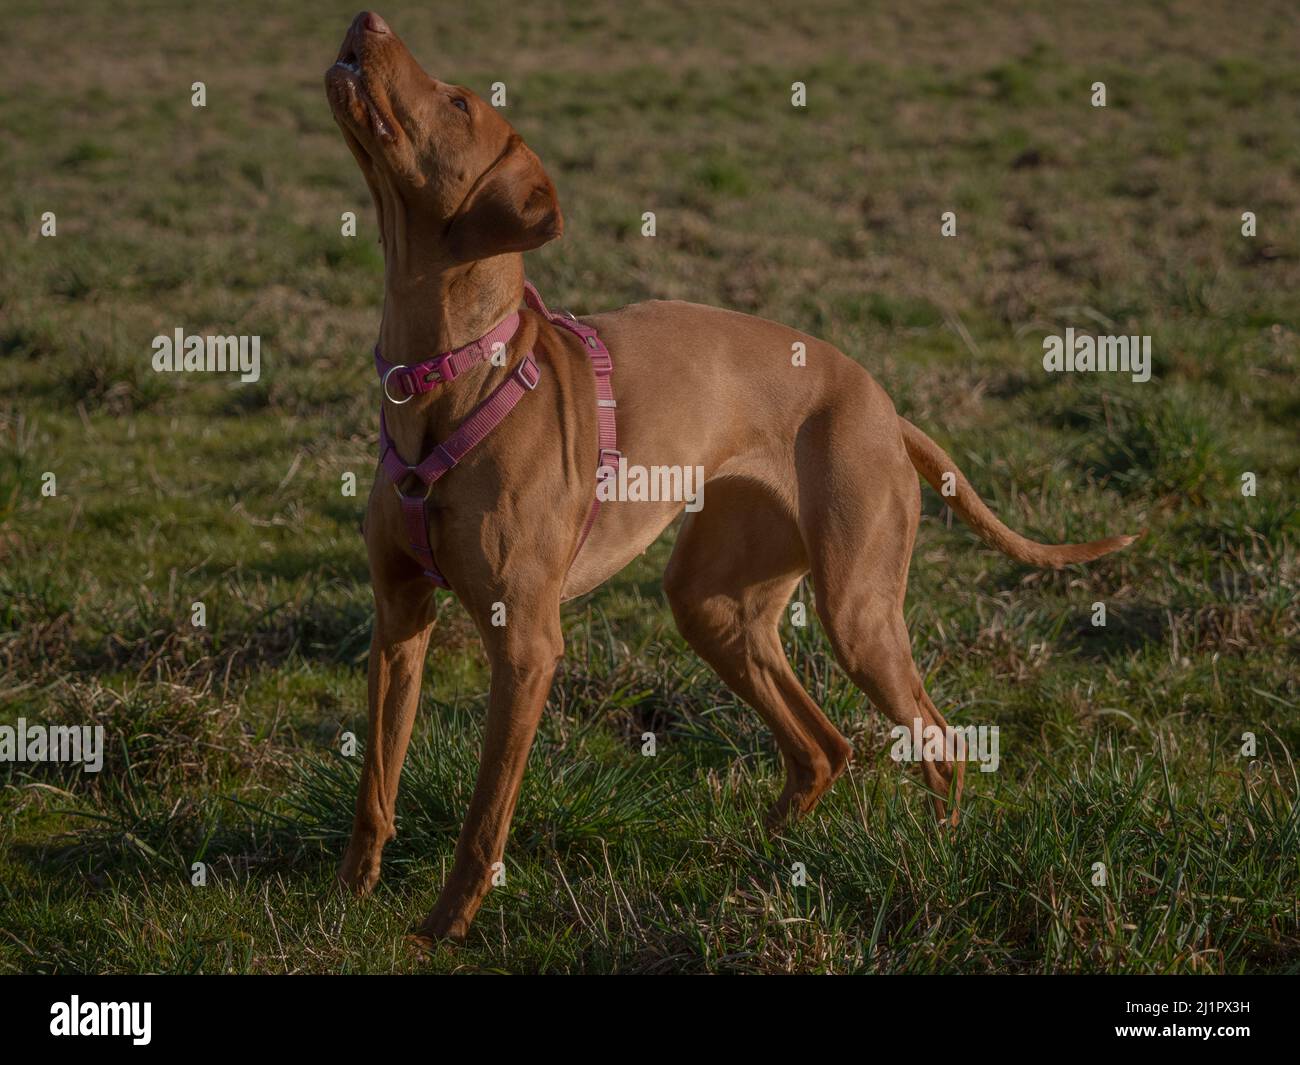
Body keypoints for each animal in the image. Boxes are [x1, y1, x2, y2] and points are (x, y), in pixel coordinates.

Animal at [327, 8, 1138, 941]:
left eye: (458, 102)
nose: (367, 18)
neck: (450, 372)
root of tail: (883, 405)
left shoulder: (526, 645)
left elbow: (485, 812)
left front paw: (444, 923)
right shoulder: (399, 619)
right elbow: (375, 778)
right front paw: (350, 895)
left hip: (857, 611)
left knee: (941, 742)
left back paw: (943, 863)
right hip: (716, 602)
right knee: (824, 745)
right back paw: (760, 853)